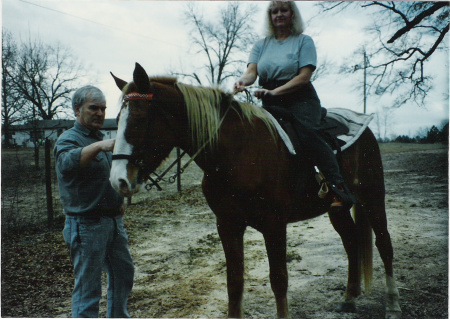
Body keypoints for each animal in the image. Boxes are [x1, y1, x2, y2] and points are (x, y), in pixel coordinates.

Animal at [108, 63, 400, 319]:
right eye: (118, 120)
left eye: (139, 119)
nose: (117, 180)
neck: (238, 152)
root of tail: (366, 131)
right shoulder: (228, 225)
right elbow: (234, 281)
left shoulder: (274, 225)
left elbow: (279, 280)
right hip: (335, 209)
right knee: (351, 243)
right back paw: (349, 299)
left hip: (373, 198)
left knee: (384, 244)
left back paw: (393, 305)